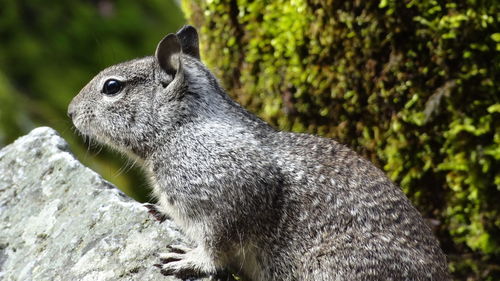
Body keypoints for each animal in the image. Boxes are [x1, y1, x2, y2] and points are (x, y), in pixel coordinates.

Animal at [66, 25, 450, 278]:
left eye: (112, 87)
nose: (70, 111)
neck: (182, 128)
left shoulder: (227, 193)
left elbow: (216, 245)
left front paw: (190, 260)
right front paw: (160, 211)